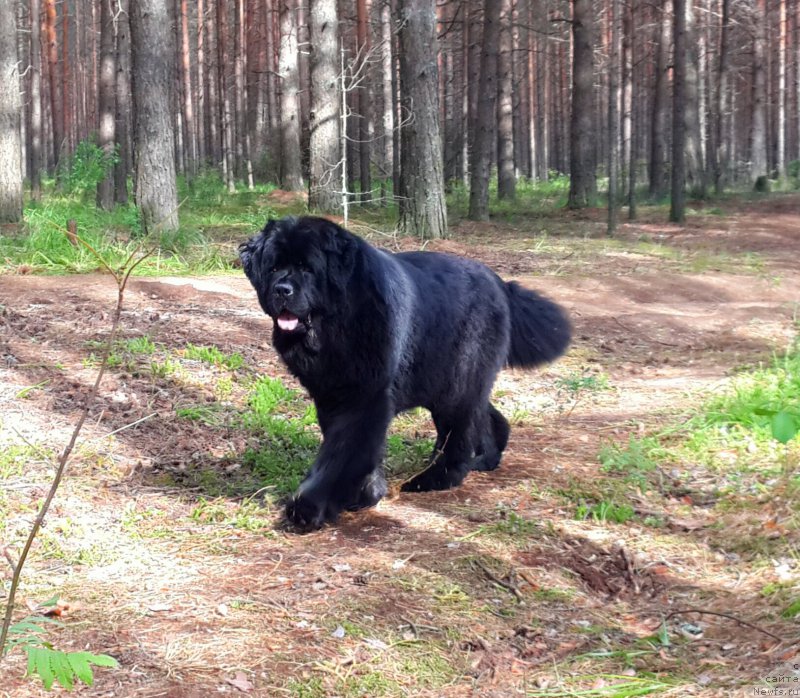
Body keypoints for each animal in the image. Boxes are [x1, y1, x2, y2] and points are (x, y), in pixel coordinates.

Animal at [241, 216, 572, 528]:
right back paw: (485, 458)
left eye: (306, 268)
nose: (282, 290)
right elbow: (355, 448)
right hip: (445, 381)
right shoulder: (330, 394)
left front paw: (311, 506)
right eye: (273, 268)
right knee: (482, 415)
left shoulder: (366, 395)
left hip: (458, 379)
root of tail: (499, 282)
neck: (335, 324)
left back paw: (435, 478)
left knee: (460, 432)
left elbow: (342, 452)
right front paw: (368, 493)